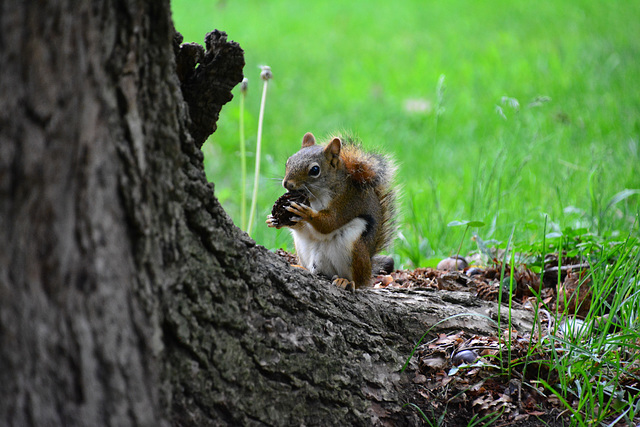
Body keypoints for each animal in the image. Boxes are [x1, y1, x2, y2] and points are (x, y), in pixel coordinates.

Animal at [264, 132, 396, 290]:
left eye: (315, 170)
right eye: (288, 162)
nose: (287, 184)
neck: (315, 197)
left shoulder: (345, 202)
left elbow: (330, 223)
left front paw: (306, 213)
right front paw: (273, 219)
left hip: (355, 248)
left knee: (359, 282)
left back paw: (346, 281)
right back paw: (301, 268)